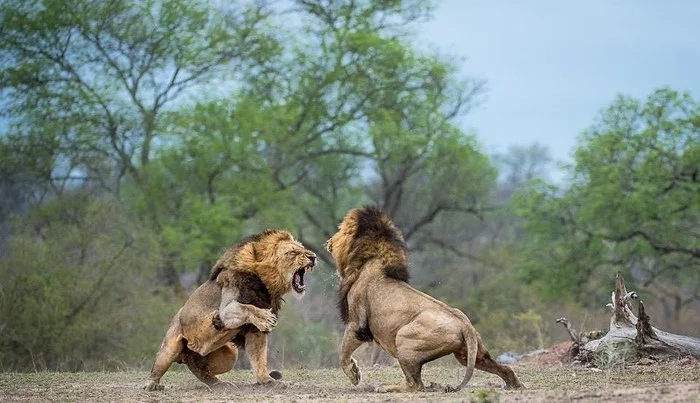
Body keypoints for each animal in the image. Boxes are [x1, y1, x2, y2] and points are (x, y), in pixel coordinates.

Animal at [144, 230, 316, 392]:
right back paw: (152, 385)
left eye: (303, 248)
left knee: (204, 372)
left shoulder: (254, 331)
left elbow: (259, 358)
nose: (313, 256)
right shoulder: (225, 310)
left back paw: (219, 384)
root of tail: (189, 355)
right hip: (170, 348)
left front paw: (267, 381)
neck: (266, 286)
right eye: (292, 252)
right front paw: (265, 317)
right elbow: (246, 308)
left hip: (230, 354)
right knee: (158, 368)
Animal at [326, 207, 524, 392]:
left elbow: (343, 352)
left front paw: (354, 375)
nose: (328, 242)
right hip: (470, 355)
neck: (370, 260)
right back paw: (513, 385)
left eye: (340, 230)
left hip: (404, 338)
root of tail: (465, 325)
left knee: (415, 385)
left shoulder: (356, 324)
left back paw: (386, 387)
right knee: (505, 368)